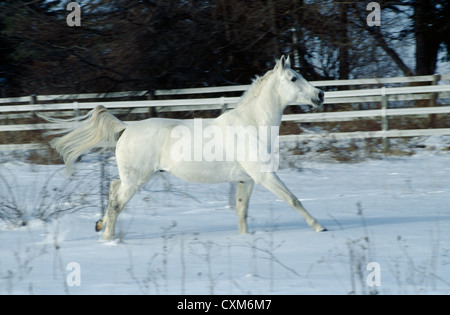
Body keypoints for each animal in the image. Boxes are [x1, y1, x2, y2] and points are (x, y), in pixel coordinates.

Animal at [45, 56, 326, 239]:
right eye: (293, 78)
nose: (320, 95)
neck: (252, 124)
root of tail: (125, 128)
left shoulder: (247, 180)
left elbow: (241, 211)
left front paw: (244, 238)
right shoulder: (264, 176)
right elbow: (292, 199)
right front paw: (319, 227)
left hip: (134, 177)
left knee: (113, 189)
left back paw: (100, 225)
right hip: (136, 179)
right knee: (116, 203)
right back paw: (109, 239)